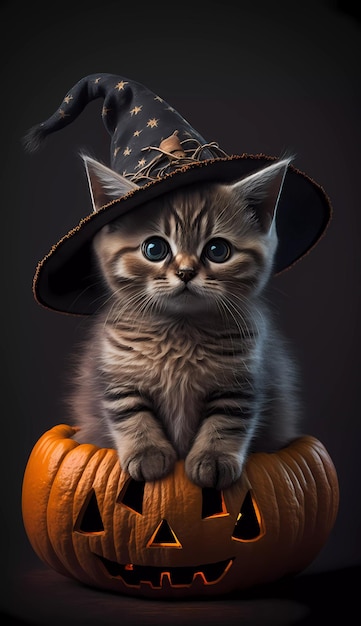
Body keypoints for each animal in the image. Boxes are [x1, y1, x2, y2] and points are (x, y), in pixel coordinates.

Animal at [71, 155, 300, 488]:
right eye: (154, 249)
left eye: (218, 250)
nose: (186, 272)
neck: (180, 330)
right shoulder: (116, 371)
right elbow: (129, 411)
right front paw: (147, 453)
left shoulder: (242, 378)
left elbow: (228, 419)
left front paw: (213, 458)